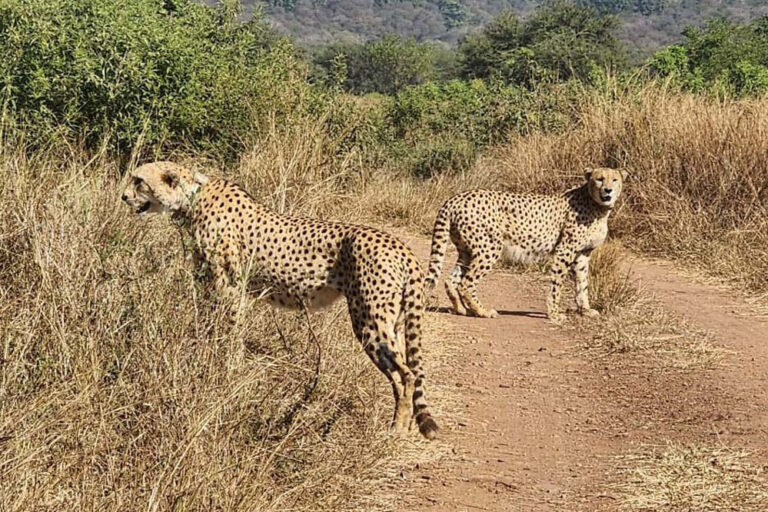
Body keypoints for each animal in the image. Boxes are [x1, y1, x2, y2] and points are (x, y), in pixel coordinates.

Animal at [120, 162, 438, 438]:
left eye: (139, 181)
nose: (123, 196)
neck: (192, 198)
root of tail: (402, 248)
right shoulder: (211, 286)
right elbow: (209, 326)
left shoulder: (230, 289)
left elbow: (230, 334)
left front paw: (228, 370)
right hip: (392, 321)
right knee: (403, 372)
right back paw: (403, 424)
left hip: (369, 319)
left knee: (407, 374)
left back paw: (397, 429)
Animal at [424, 167, 628, 324]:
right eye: (599, 179)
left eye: (614, 179)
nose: (608, 190)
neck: (596, 205)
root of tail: (455, 198)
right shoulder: (565, 251)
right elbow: (557, 285)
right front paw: (554, 314)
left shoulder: (582, 254)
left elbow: (582, 284)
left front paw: (585, 310)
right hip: (489, 248)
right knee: (466, 282)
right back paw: (483, 311)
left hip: (467, 250)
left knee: (451, 280)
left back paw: (461, 309)